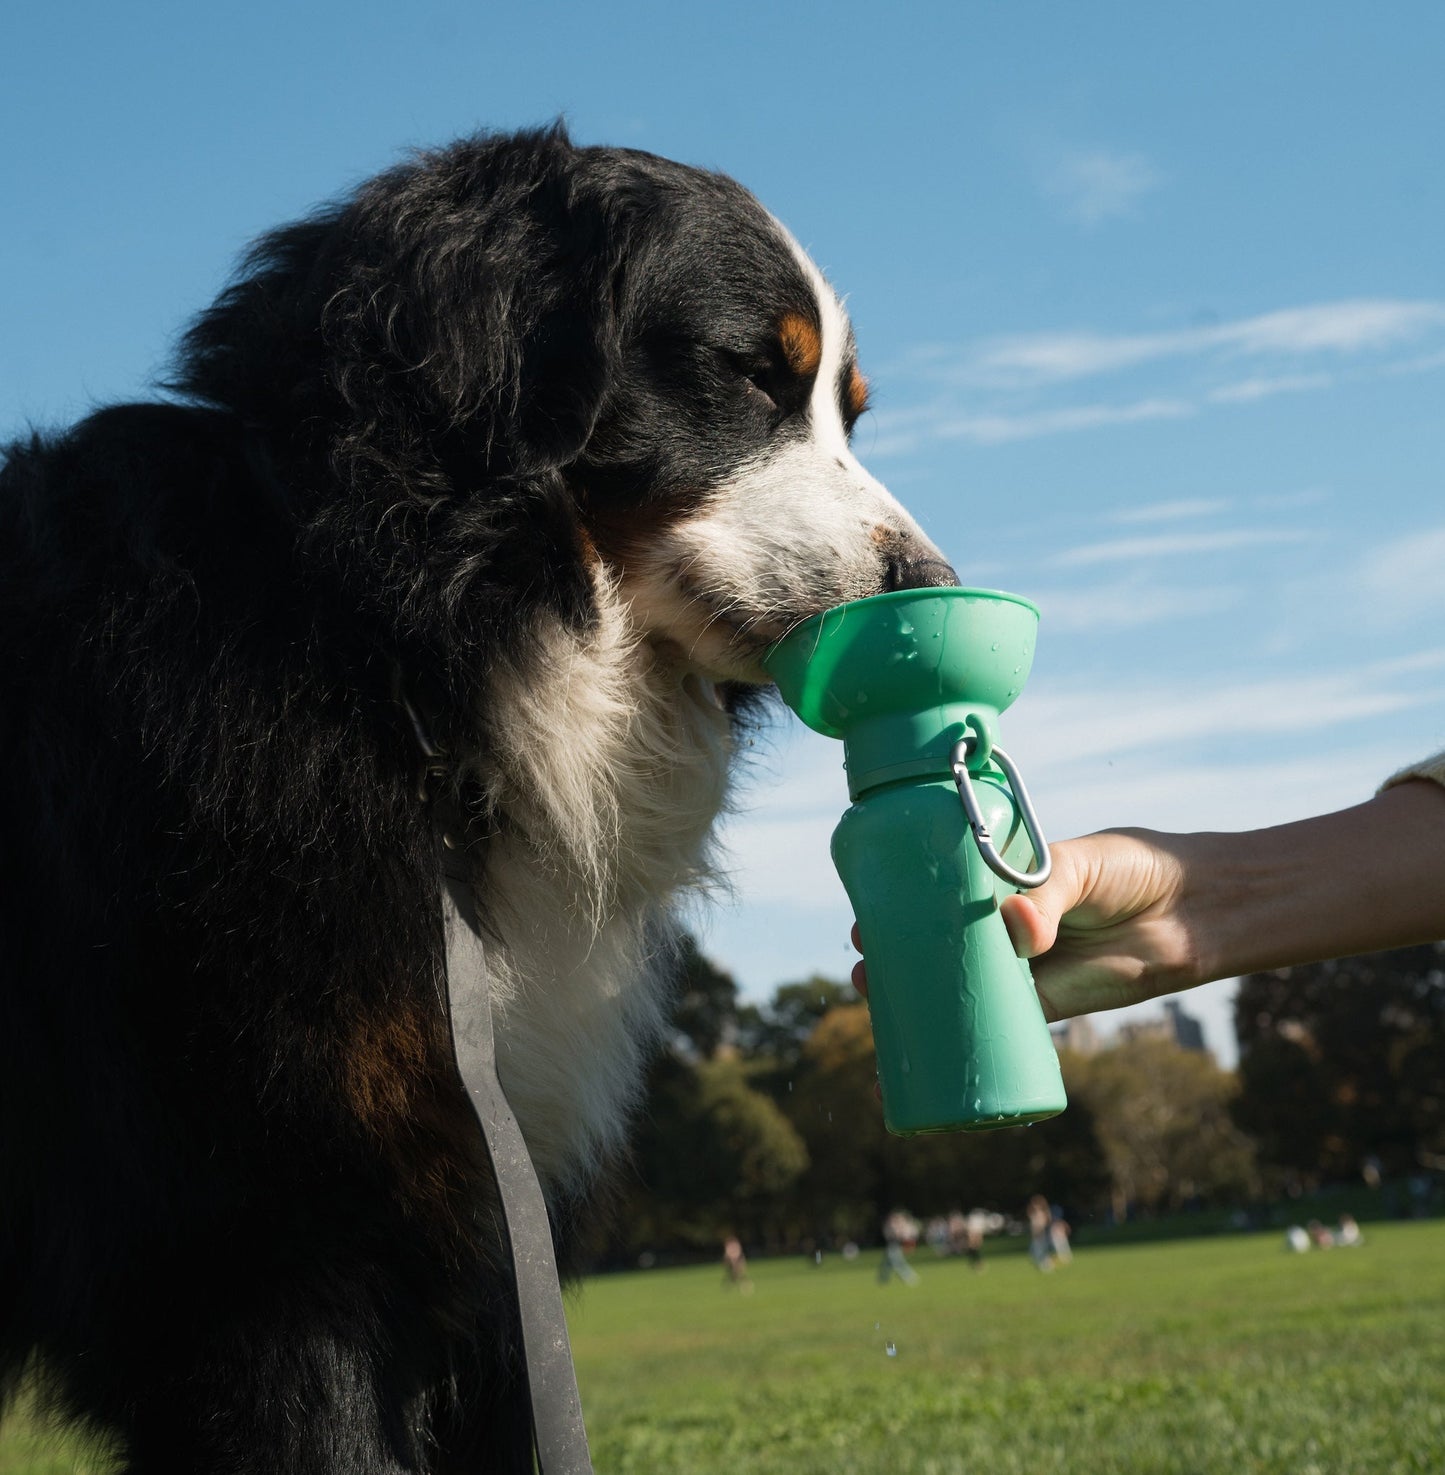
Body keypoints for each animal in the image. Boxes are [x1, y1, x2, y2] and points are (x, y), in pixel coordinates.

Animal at [0, 120, 961, 1469]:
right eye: (747, 374)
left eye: (851, 412)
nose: (933, 580)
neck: (389, 661)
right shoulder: (269, 1234)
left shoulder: (480, 1206)